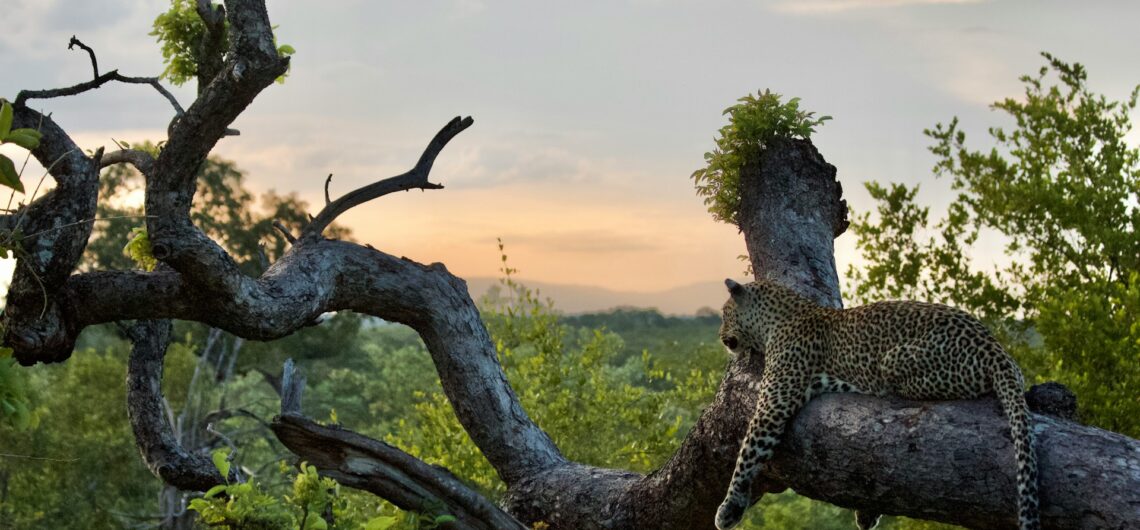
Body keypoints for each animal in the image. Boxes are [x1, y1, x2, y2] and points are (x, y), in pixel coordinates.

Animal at [714, 278, 1039, 530]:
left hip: (894, 360)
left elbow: (747, 454)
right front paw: (867, 514)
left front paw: (729, 508)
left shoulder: (774, 403)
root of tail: (995, 349)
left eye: (724, 313)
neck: (779, 317)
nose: (719, 337)